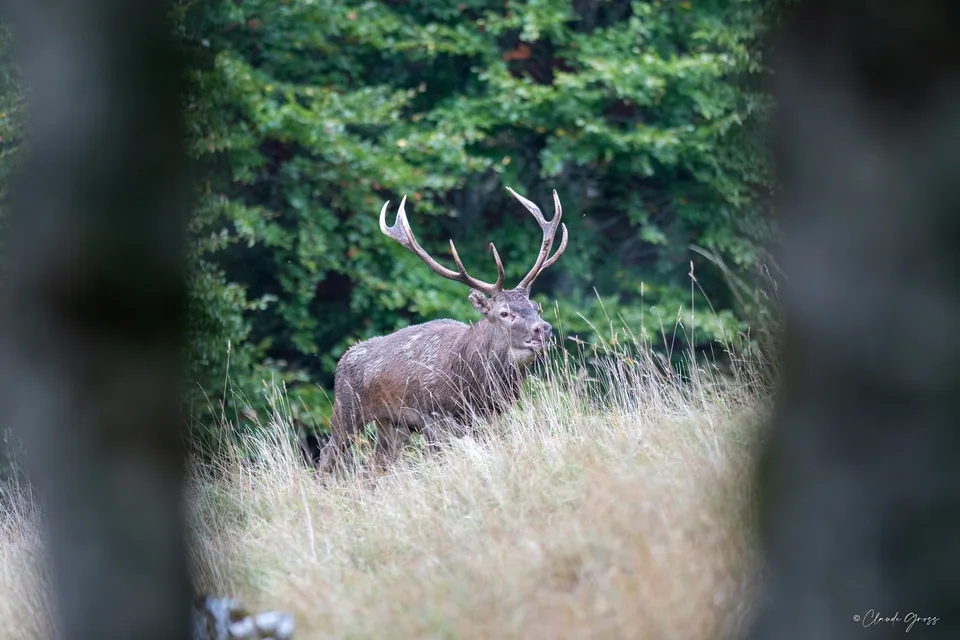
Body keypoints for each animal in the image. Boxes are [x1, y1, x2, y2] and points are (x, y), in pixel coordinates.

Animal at [316, 187, 569, 475]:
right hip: (346, 410)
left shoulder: (486, 417)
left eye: (535, 306)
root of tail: (343, 358)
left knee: (377, 463)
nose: (543, 329)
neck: (472, 382)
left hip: (392, 424)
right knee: (328, 453)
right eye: (504, 313)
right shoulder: (432, 416)